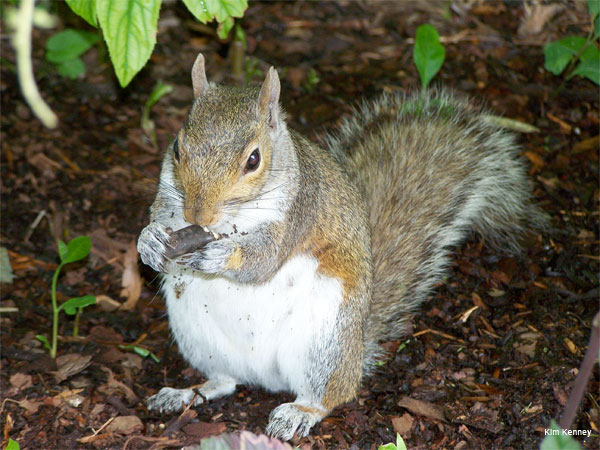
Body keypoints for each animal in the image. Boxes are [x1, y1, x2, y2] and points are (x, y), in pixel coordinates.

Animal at [138, 52, 548, 440]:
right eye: (177, 148)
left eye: (253, 160)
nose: (197, 214)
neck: (227, 223)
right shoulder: (169, 200)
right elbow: (158, 219)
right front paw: (150, 242)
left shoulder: (298, 214)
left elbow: (263, 261)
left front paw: (220, 255)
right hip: (197, 336)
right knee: (224, 381)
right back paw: (184, 393)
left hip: (324, 340)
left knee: (331, 395)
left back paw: (300, 412)